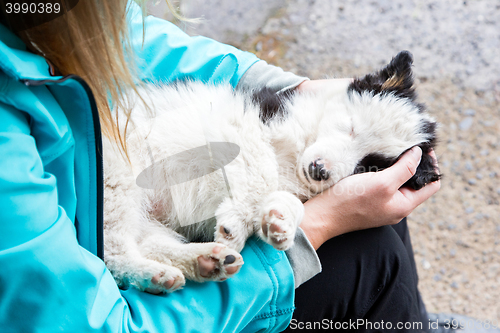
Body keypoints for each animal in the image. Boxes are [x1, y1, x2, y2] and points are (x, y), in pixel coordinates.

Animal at [104, 50, 438, 292]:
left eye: (367, 165)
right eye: (350, 126)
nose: (319, 170)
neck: (297, 152)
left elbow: (286, 198)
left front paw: (280, 221)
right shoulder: (243, 127)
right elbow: (262, 172)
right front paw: (237, 222)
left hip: (144, 214)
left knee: (144, 242)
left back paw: (203, 261)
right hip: (117, 179)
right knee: (112, 251)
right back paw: (153, 272)